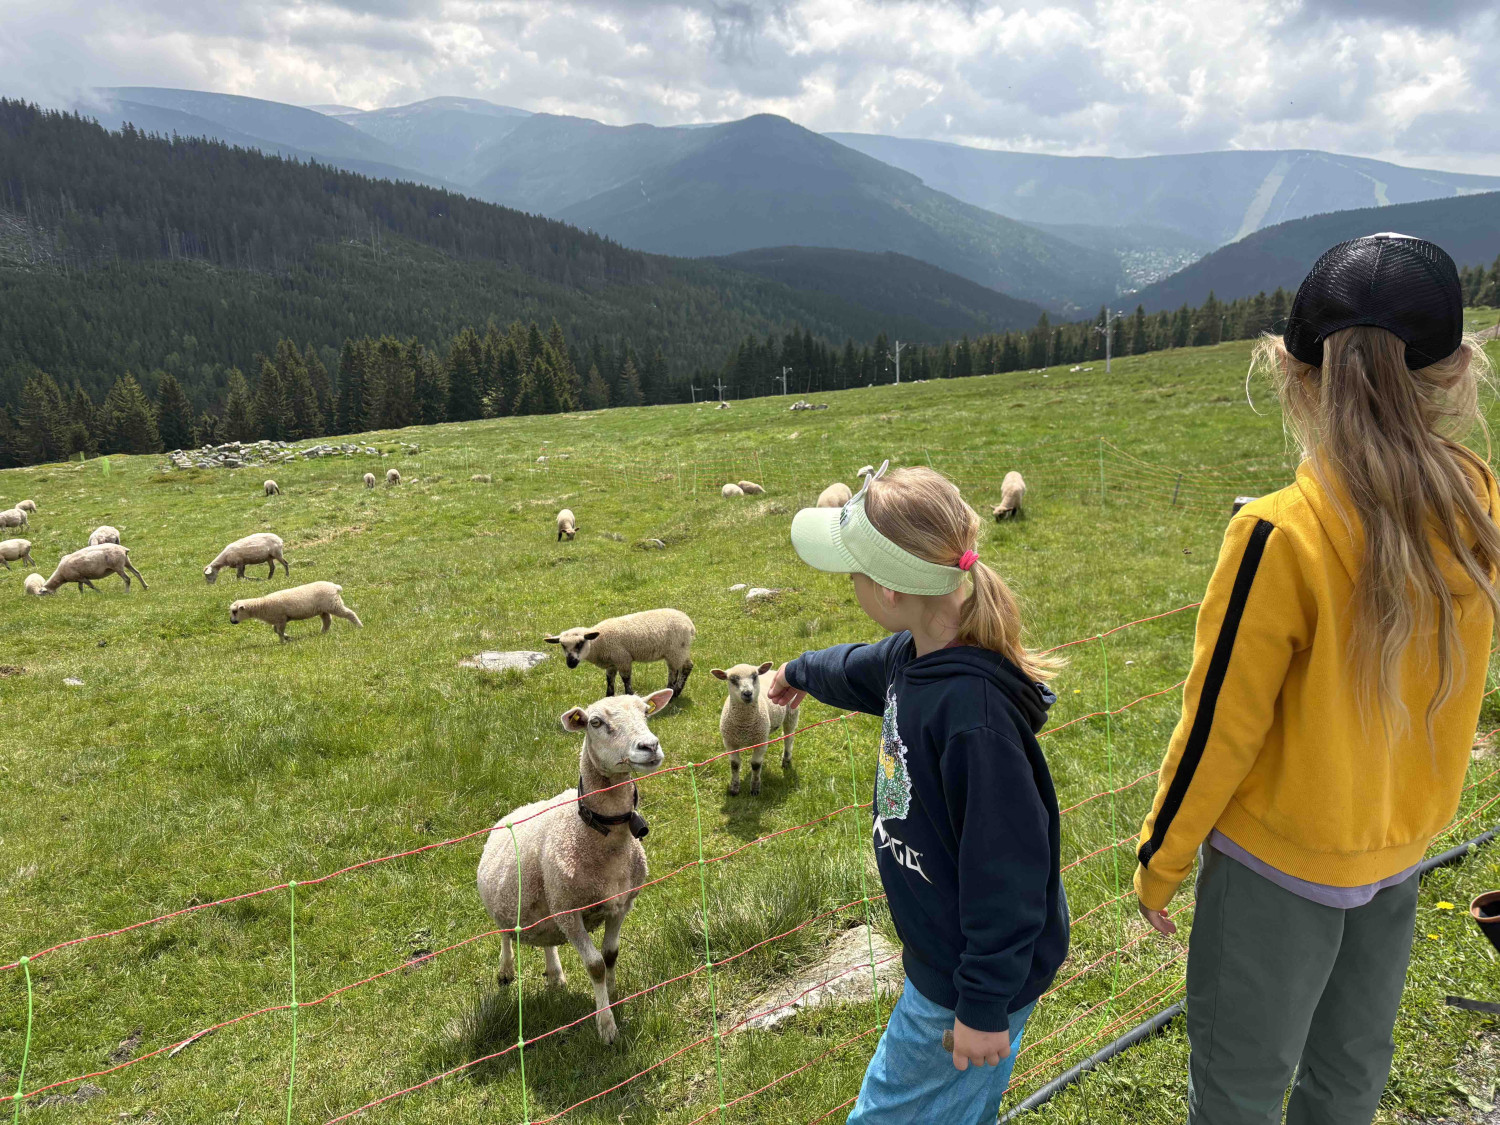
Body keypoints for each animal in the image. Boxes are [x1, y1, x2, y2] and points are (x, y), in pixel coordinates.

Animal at [229, 581, 362, 642]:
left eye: (235, 611)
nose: (231, 621)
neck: (262, 605)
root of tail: (334, 587)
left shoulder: (281, 618)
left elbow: (279, 631)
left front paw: (282, 642)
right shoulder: (278, 619)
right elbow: (275, 630)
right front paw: (287, 637)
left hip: (333, 604)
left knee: (349, 613)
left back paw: (359, 626)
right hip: (324, 609)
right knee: (327, 621)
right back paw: (322, 633)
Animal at [477, 688, 673, 1044]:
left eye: (645, 711)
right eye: (595, 722)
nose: (650, 746)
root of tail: (513, 812)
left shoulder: (621, 903)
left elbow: (611, 956)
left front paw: (613, 994)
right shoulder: (568, 911)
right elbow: (595, 965)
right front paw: (606, 1026)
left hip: (545, 910)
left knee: (545, 942)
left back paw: (555, 975)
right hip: (511, 906)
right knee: (504, 935)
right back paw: (506, 971)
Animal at [545, 608, 696, 698]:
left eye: (580, 643)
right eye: (563, 645)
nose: (571, 663)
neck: (599, 642)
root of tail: (689, 623)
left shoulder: (622, 659)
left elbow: (626, 679)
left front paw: (629, 695)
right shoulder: (611, 664)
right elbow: (610, 680)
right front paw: (608, 697)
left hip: (675, 650)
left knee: (674, 672)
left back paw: (671, 693)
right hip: (680, 650)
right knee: (687, 666)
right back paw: (675, 692)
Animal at [712, 662, 800, 797]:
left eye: (754, 676)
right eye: (732, 679)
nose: (747, 693)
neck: (744, 724)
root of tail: (773, 671)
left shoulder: (761, 741)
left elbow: (756, 765)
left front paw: (755, 788)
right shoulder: (729, 741)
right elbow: (734, 765)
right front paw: (734, 788)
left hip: (792, 712)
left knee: (789, 737)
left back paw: (786, 760)